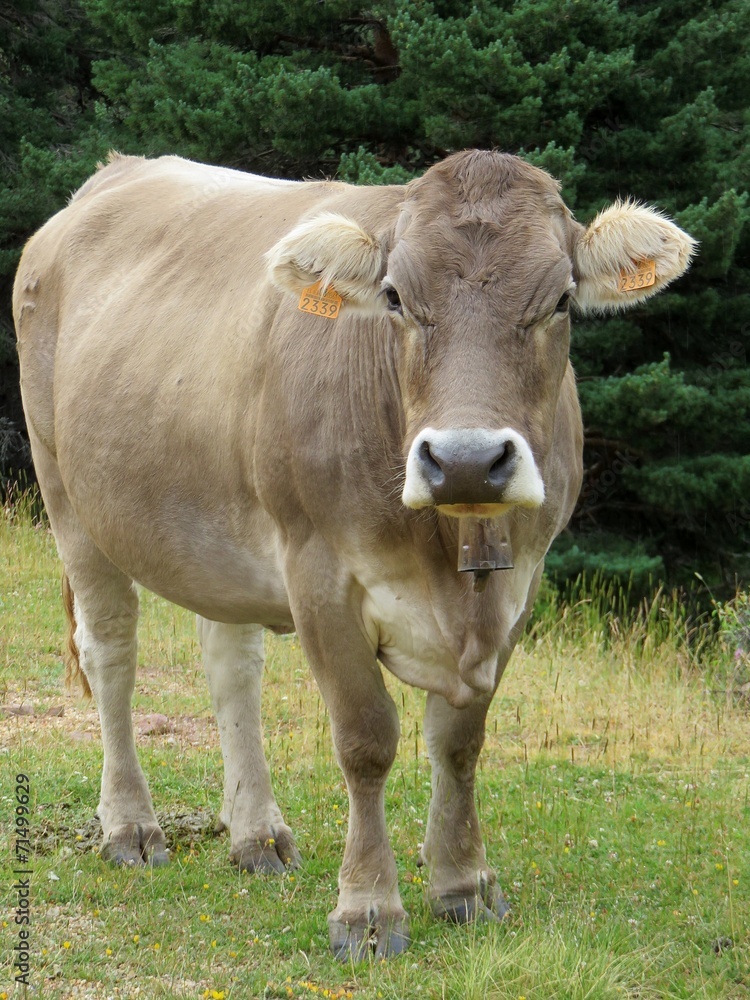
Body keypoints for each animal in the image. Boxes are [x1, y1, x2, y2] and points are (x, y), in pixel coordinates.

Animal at [13, 149, 695, 960]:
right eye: (396, 297)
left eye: (560, 300)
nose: (466, 462)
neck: (447, 558)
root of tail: (110, 175)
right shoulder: (319, 574)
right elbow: (366, 740)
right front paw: (368, 909)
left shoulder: (519, 587)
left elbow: (459, 743)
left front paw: (463, 884)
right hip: (67, 495)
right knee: (110, 652)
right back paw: (130, 826)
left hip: (220, 536)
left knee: (231, 666)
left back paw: (256, 835)